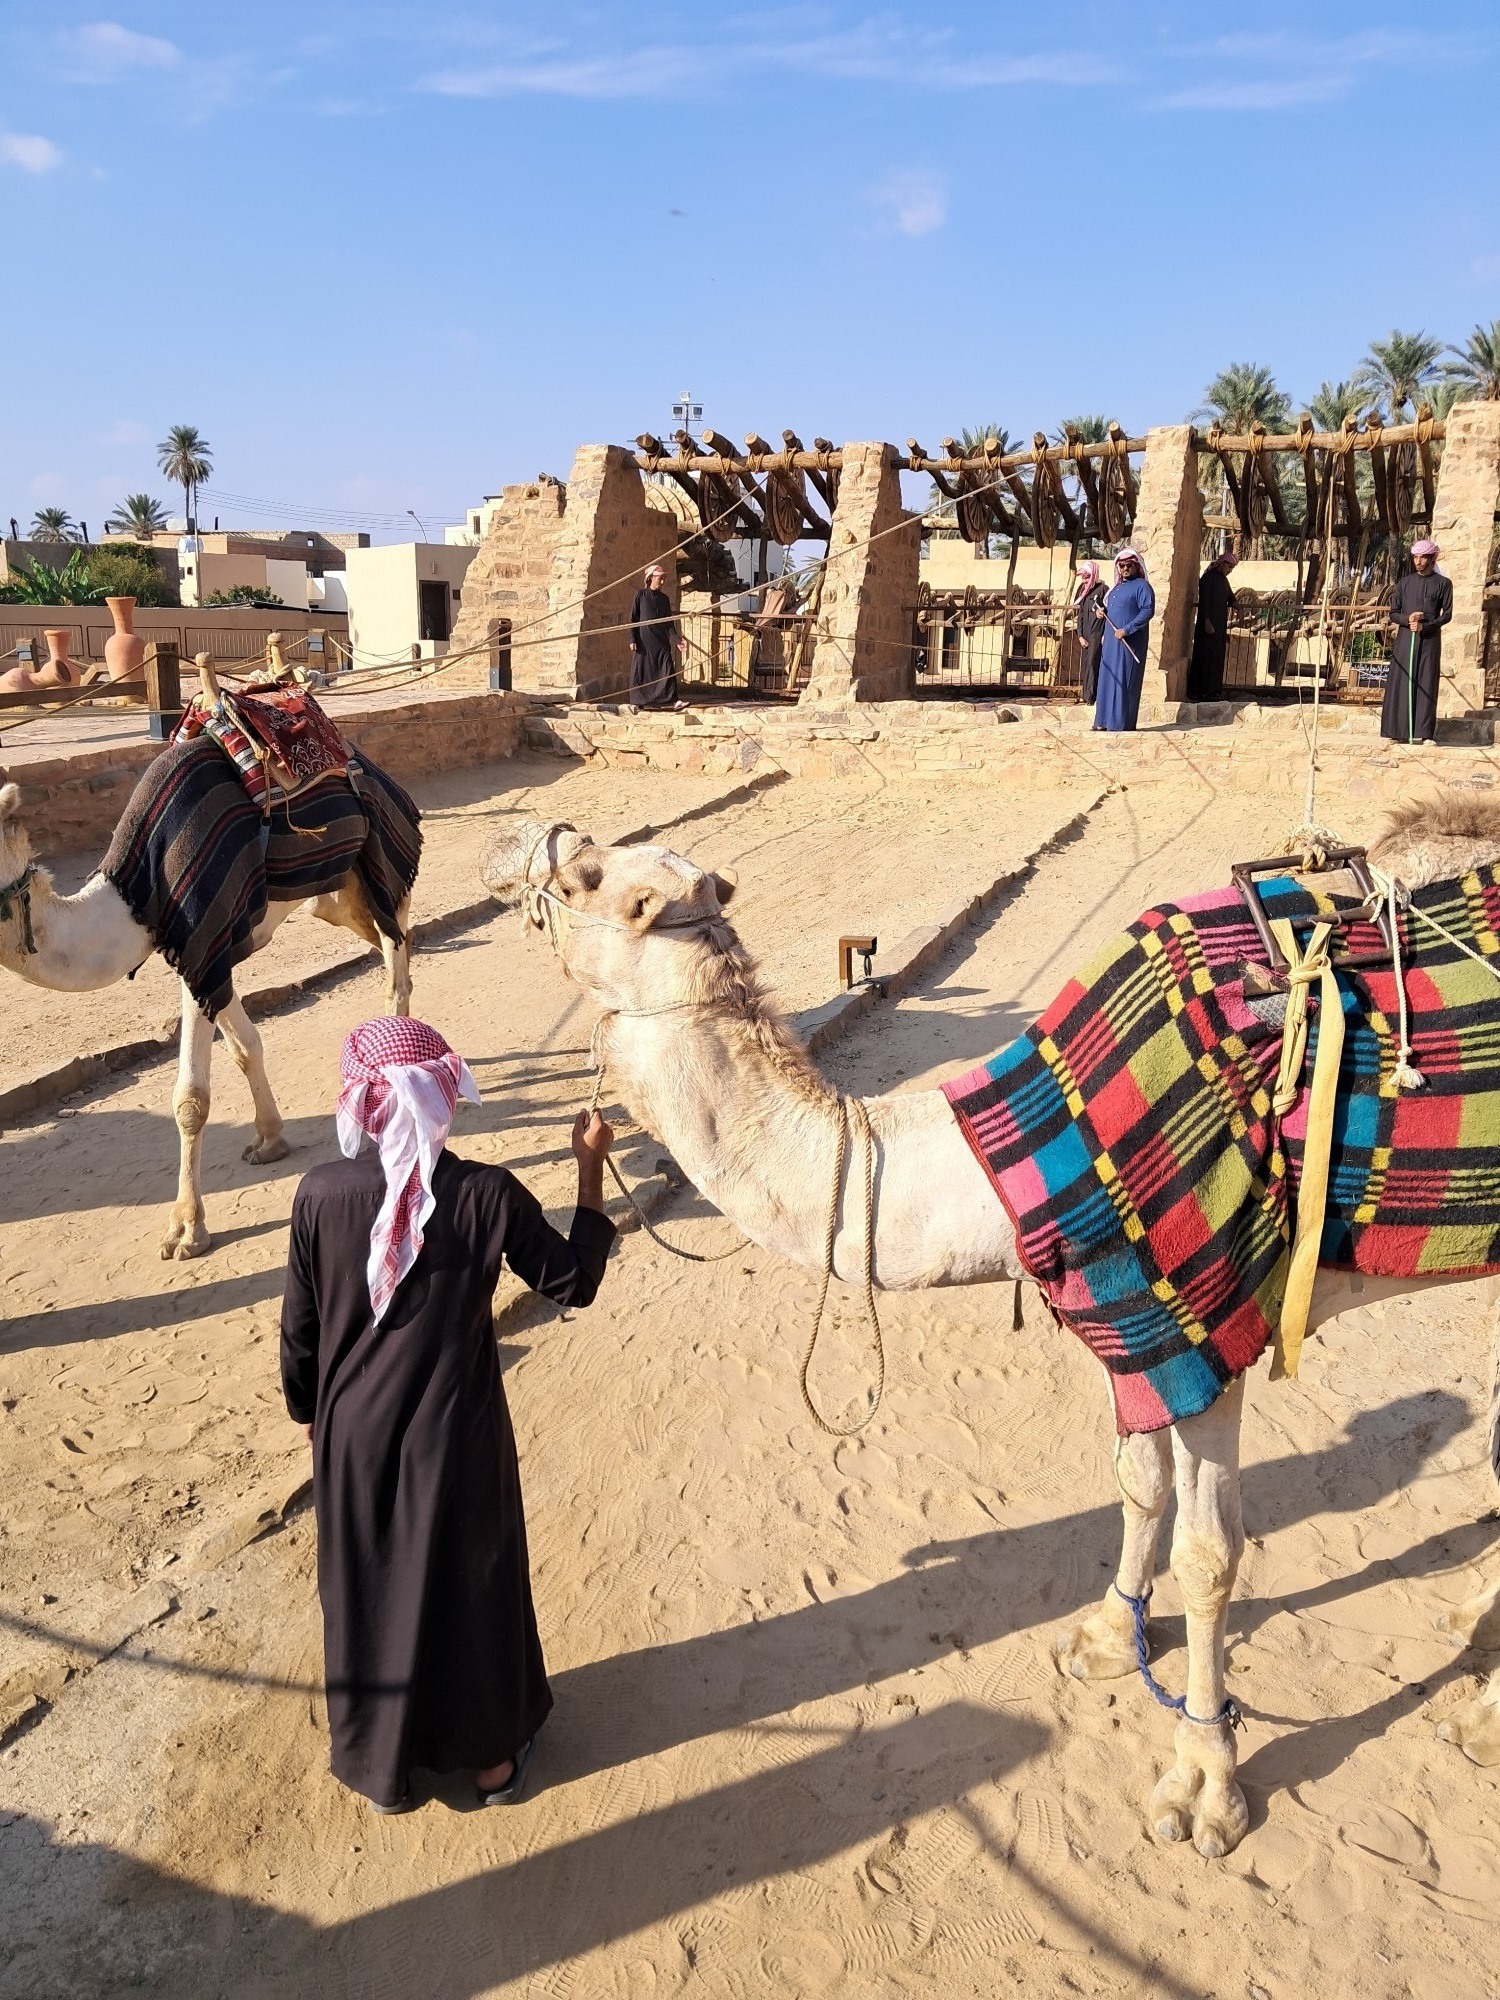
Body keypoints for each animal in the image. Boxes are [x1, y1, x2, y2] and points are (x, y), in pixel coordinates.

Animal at [0, 776, 412, 1256]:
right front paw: (269, 1140)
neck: (133, 900)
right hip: (334, 902)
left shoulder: (199, 944)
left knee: (396, 970)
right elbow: (246, 1047)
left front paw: (186, 1229)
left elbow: (191, 1099)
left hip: (379, 876)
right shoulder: (211, 959)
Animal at [482, 796, 1500, 1856]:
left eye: (590, 874)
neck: (1012, 1162)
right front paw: (1107, 1637)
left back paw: (1478, 1721)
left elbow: (1211, 1555)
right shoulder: (1127, 1317)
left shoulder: (1207, 1314)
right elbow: (1136, 1482)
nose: (513, 840)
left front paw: (1204, 1782)